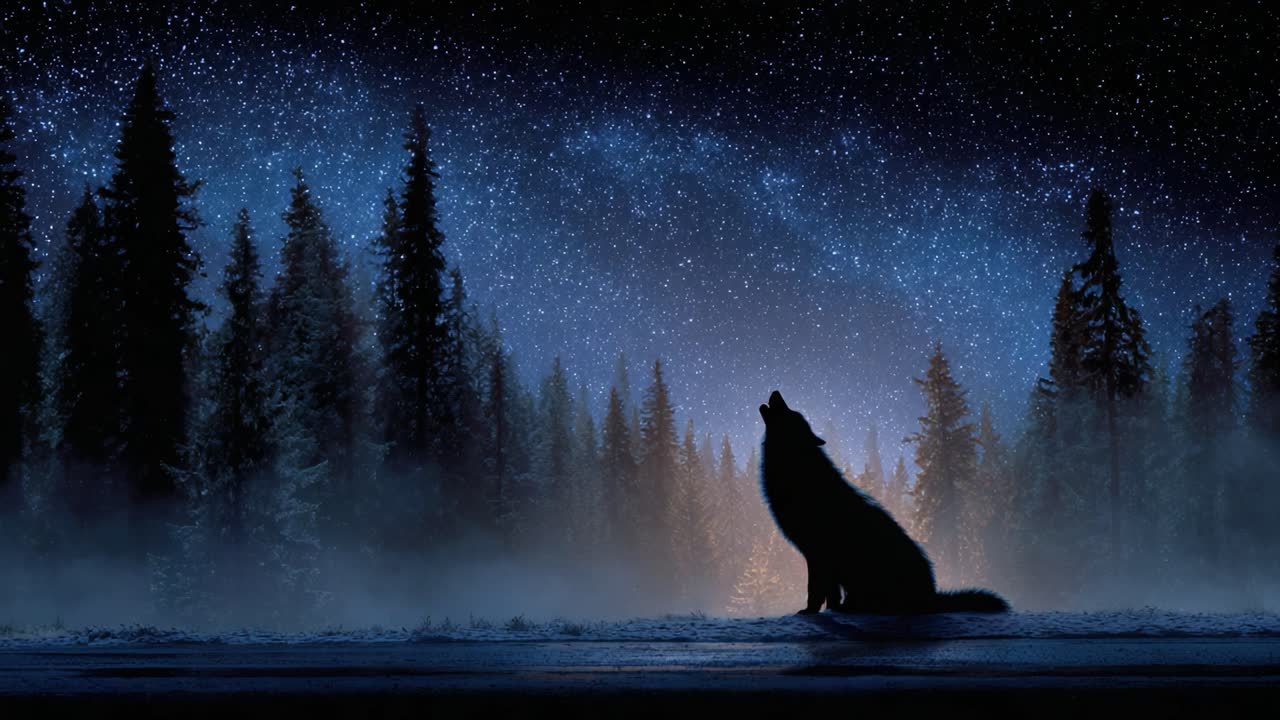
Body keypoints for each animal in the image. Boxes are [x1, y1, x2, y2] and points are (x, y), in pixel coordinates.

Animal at [759, 391, 1009, 614]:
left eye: (791, 412)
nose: (776, 392)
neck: (797, 467)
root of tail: (930, 596)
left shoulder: (817, 554)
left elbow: (815, 591)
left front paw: (809, 612)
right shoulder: (823, 560)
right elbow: (831, 595)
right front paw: (831, 611)